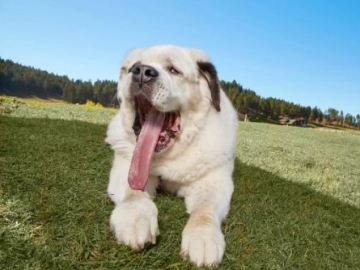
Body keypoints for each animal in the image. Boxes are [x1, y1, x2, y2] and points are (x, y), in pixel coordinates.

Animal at [105, 44, 238, 266]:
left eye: (174, 70)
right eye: (134, 66)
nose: (142, 72)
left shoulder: (214, 181)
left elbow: (204, 210)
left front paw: (203, 237)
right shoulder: (126, 166)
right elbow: (134, 194)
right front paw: (135, 219)